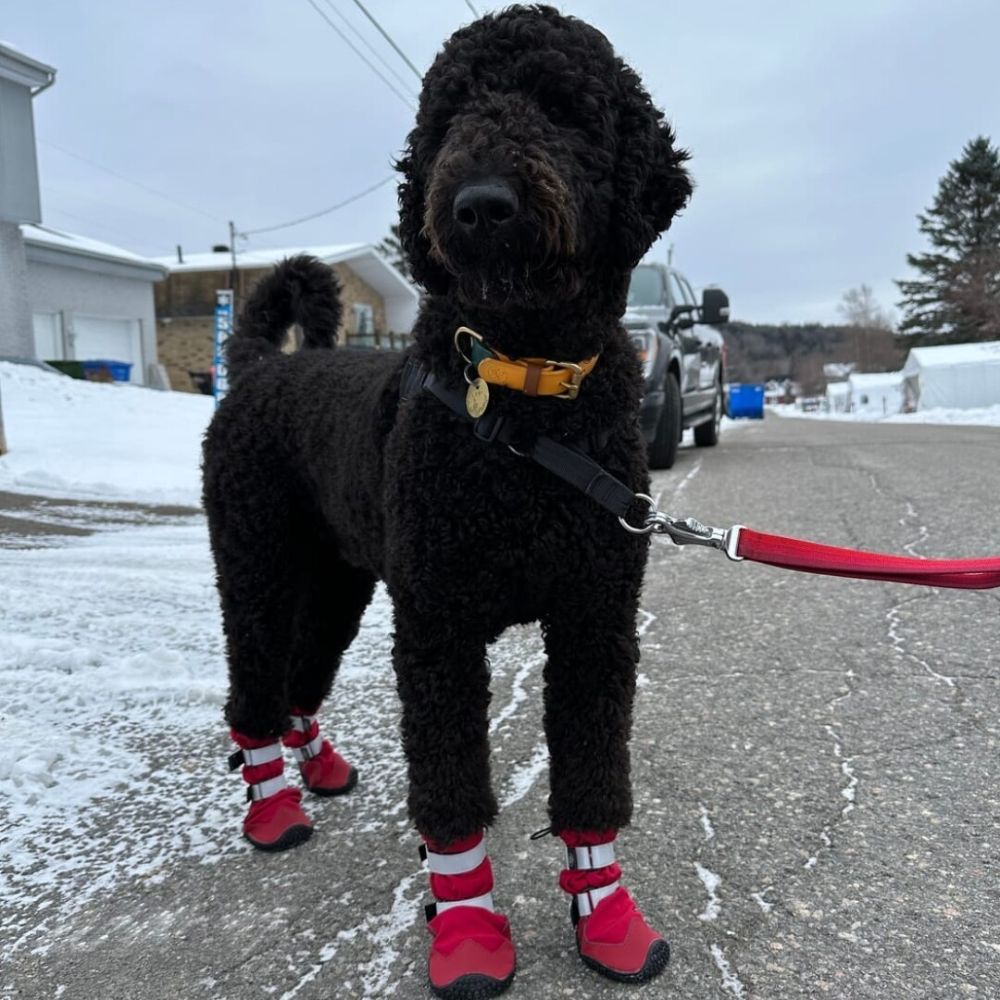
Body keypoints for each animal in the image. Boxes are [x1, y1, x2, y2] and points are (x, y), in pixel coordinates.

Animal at [203, 3, 688, 880]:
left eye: (563, 107)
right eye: (449, 115)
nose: (480, 204)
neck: (523, 402)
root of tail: (259, 364)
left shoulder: (596, 616)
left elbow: (592, 776)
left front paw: (606, 904)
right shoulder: (438, 627)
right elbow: (451, 793)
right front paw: (467, 916)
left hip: (340, 577)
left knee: (301, 676)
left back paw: (319, 764)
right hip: (256, 561)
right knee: (255, 687)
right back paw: (273, 805)